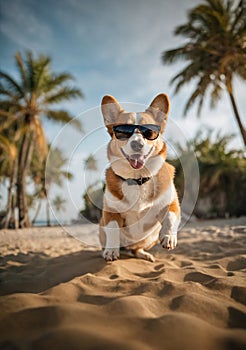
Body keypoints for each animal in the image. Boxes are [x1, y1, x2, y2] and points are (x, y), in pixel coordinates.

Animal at [98, 94, 181, 262]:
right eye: (123, 131)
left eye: (149, 132)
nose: (137, 144)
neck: (138, 180)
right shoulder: (110, 212)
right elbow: (113, 229)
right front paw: (111, 251)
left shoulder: (172, 203)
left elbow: (170, 216)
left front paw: (169, 237)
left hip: (150, 238)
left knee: (136, 249)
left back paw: (145, 254)